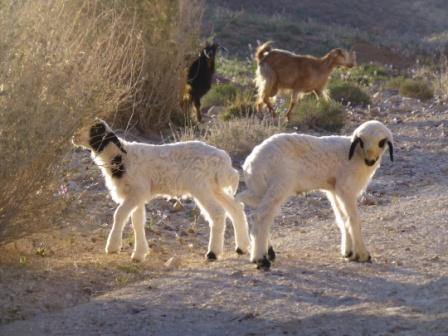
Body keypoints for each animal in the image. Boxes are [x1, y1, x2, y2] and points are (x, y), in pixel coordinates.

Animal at [72, 119, 250, 262]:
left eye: (95, 130)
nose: (74, 136)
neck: (120, 158)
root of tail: (224, 160)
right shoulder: (136, 195)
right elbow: (137, 222)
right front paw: (139, 254)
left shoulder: (138, 190)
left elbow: (120, 214)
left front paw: (113, 247)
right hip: (214, 186)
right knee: (235, 208)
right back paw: (241, 248)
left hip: (201, 186)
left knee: (218, 213)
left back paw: (213, 253)